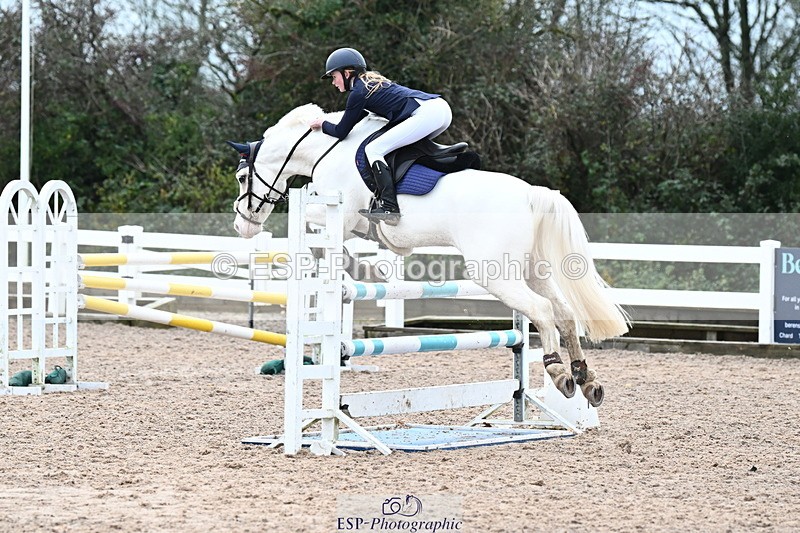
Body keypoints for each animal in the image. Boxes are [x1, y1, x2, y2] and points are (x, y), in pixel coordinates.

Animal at [229, 103, 629, 407]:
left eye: (241, 178)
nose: (241, 226)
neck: (326, 151)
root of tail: (532, 193)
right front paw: (361, 269)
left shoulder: (337, 214)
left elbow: (318, 235)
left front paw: (356, 269)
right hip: (531, 270)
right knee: (564, 313)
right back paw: (586, 378)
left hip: (495, 273)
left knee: (543, 311)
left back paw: (559, 372)